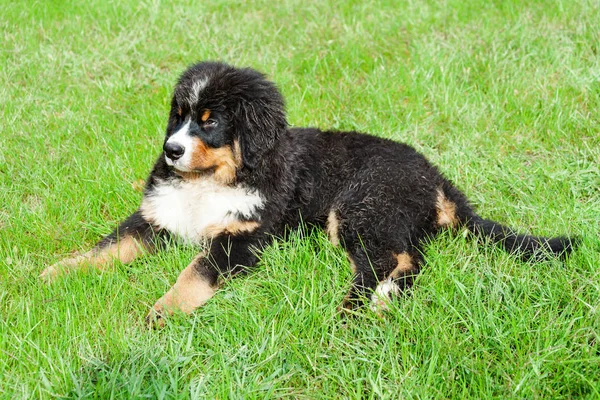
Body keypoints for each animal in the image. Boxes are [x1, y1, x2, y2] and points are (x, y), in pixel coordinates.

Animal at [41, 61, 576, 324]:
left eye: (210, 122)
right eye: (180, 115)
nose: (171, 151)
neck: (212, 179)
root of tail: (437, 178)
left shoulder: (241, 239)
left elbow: (192, 275)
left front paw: (160, 313)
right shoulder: (158, 216)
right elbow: (109, 247)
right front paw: (54, 274)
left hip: (362, 205)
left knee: (388, 260)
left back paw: (356, 306)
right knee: (410, 259)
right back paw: (379, 301)